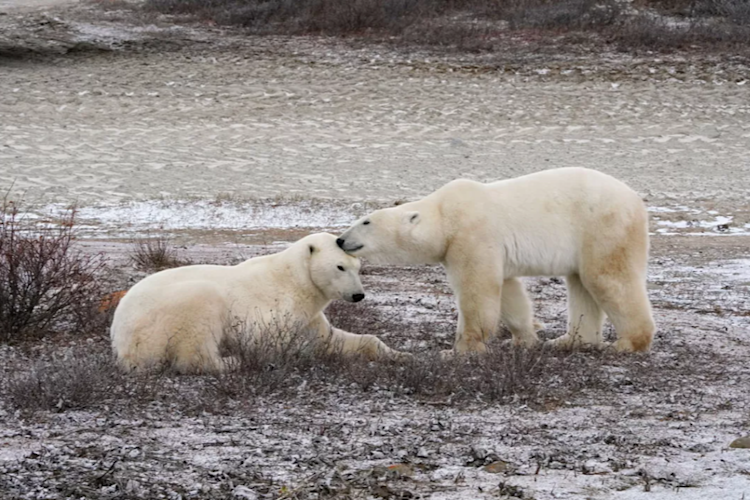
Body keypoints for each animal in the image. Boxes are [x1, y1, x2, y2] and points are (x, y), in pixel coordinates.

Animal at [110, 233, 408, 373]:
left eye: (358, 267)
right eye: (340, 266)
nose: (358, 295)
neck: (296, 280)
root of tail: (120, 339)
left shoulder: (309, 315)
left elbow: (332, 338)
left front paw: (400, 354)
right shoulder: (271, 306)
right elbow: (266, 341)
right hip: (165, 315)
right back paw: (231, 361)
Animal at [337, 167, 655, 355]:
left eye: (365, 221)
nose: (340, 240)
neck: (445, 215)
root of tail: (635, 200)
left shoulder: (471, 235)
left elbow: (477, 290)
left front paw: (462, 349)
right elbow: (509, 293)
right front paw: (523, 339)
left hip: (602, 226)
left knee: (607, 278)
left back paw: (627, 343)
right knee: (580, 284)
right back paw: (570, 340)